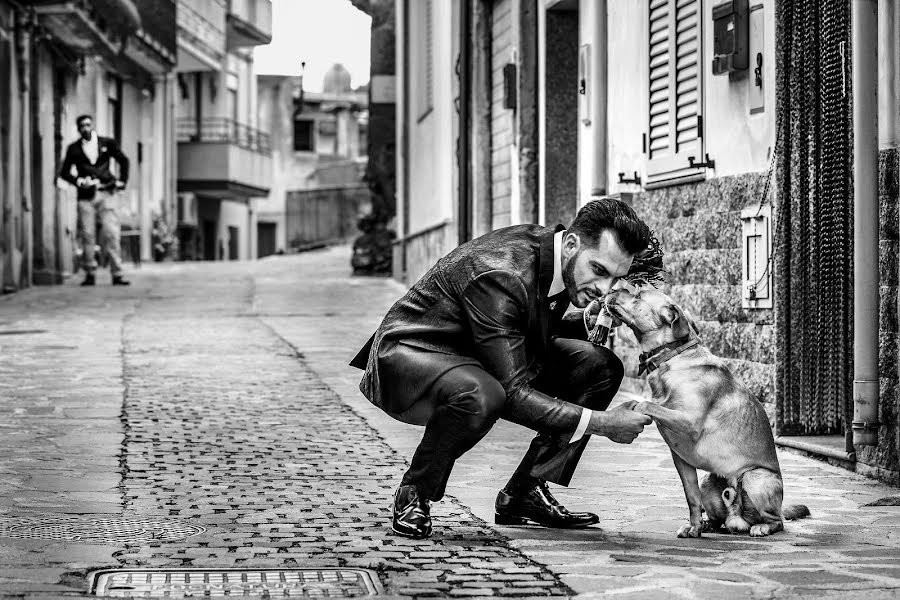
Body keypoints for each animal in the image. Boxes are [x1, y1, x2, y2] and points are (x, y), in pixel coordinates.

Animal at [600, 288, 812, 536]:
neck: (673, 357)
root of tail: (738, 515)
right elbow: (691, 497)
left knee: (778, 520)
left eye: (638, 294)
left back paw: (762, 527)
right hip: (708, 482)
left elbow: (646, 405)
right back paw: (710, 525)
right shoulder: (682, 460)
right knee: (721, 518)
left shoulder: (689, 422)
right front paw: (694, 527)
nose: (611, 290)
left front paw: (635, 409)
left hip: (755, 478)